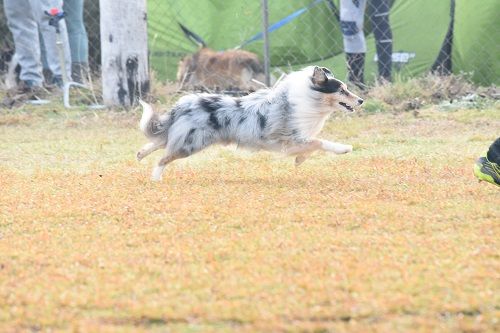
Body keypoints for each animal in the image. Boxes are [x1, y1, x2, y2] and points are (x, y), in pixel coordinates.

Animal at [137, 66, 364, 180]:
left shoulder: (294, 140)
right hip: (192, 143)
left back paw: (140, 154)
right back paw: (156, 178)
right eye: (342, 90)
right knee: (164, 157)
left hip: (184, 136)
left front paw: (299, 160)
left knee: (161, 141)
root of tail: (183, 104)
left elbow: (312, 146)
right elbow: (319, 142)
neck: (308, 98)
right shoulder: (289, 138)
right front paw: (343, 148)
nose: (361, 100)